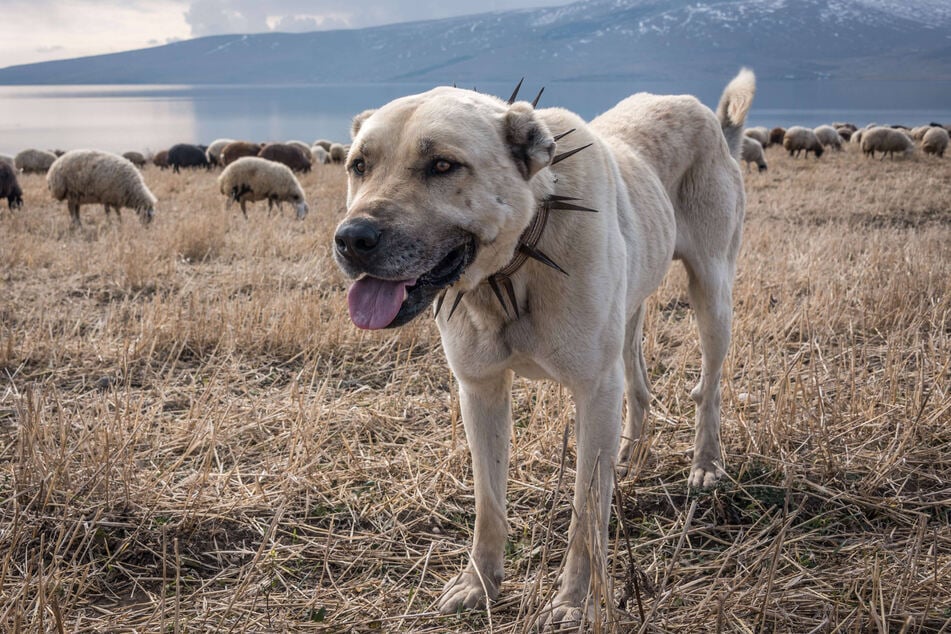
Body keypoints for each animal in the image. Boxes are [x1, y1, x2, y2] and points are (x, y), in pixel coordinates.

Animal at [334, 70, 760, 628]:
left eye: (443, 165)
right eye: (358, 165)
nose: (351, 239)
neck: (516, 261)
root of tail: (707, 116)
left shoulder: (594, 392)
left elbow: (586, 513)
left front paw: (575, 602)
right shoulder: (480, 390)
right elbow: (488, 502)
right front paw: (479, 585)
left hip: (712, 294)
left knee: (708, 387)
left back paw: (706, 464)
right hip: (630, 309)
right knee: (638, 383)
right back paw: (630, 452)